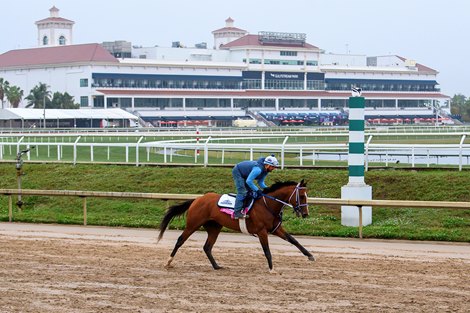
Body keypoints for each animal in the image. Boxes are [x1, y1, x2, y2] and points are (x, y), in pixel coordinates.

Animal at [158, 179, 316, 272]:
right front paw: (271, 268)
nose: (305, 213)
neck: (268, 205)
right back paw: (168, 262)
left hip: (214, 227)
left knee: (207, 247)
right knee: (180, 240)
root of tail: (197, 199)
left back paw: (216, 266)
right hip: (193, 224)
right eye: (302, 196)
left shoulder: (275, 229)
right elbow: (267, 250)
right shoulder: (262, 231)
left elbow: (293, 240)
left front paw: (310, 255)